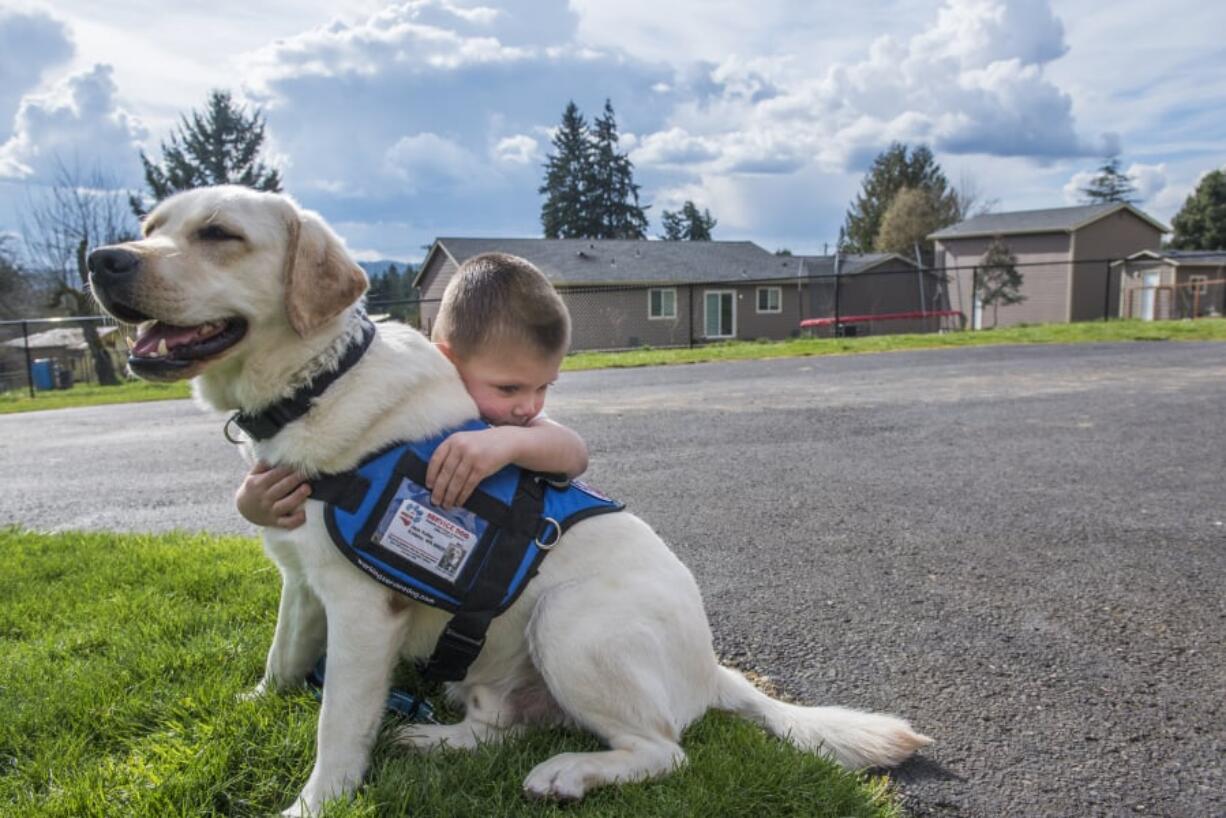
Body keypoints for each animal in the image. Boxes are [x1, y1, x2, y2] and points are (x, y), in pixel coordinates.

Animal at [86, 187, 926, 818]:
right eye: (150, 230)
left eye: (219, 235)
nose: (102, 259)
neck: (315, 382)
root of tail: (714, 669)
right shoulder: (300, 581)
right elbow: (284, 659)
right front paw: (256, 701)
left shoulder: (361, 610)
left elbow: (336, 726)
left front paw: (313, 804)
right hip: (494, 667)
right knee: (499, 726)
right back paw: (437, 740)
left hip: (571, 620)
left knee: (663, 749)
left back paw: (569, 772)